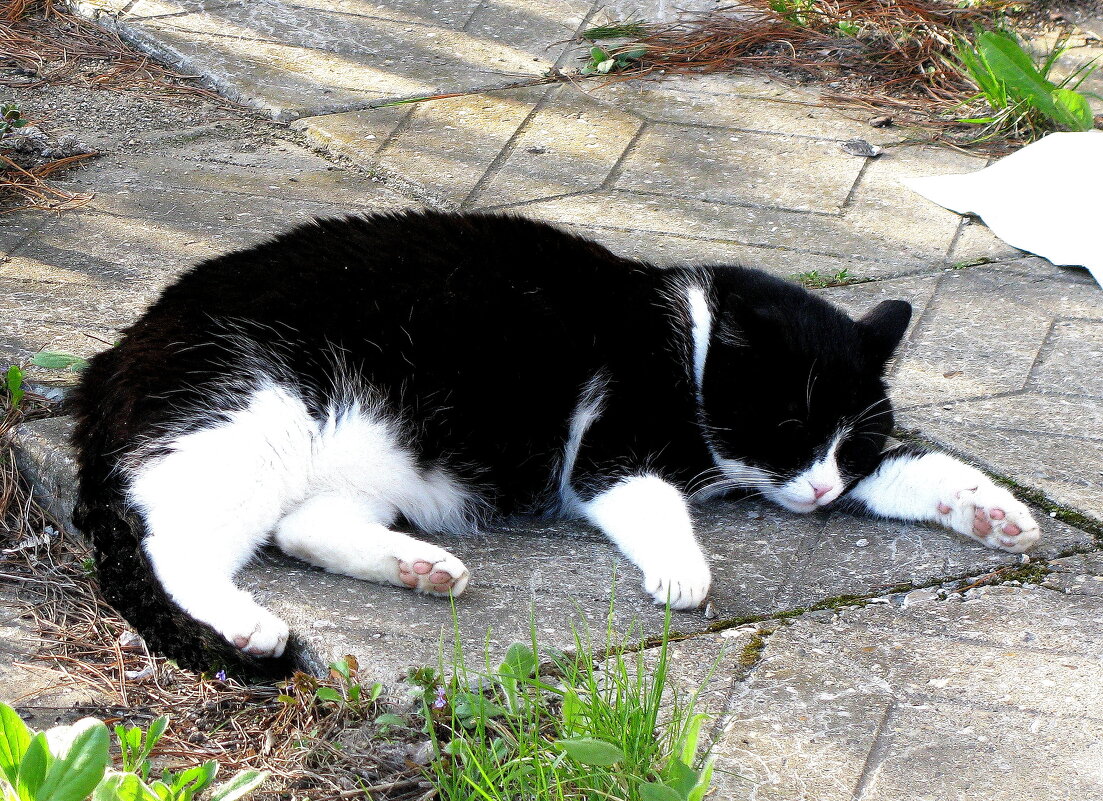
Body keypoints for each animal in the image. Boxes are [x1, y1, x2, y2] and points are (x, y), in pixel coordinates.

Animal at [71, 210, 1041, 675]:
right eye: (790, 430)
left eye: (848, 447)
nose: (820, 493)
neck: (688, 340)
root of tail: (116, 351)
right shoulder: (612, 447)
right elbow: (648, 498)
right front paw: (681, 570)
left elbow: (915, 467)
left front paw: (987, 510)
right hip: (256, 413)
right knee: (177, 544)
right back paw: (247, 620)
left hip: (379, 453)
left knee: (302, 526)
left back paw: (419, 567)